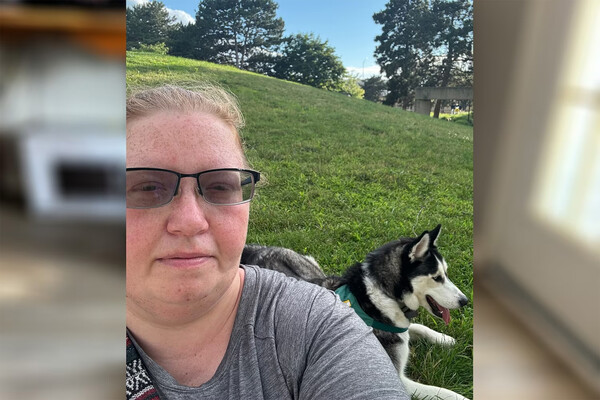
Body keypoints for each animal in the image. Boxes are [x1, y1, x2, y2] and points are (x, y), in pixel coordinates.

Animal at [242, 225, 470, 400]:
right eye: (437, 277)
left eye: (446, 273)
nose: (465, 301)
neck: (380, 297)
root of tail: (251, 249)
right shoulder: (398, 378)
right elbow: (443, 392)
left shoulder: (400, 328)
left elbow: (419, 327)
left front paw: (445, 339)